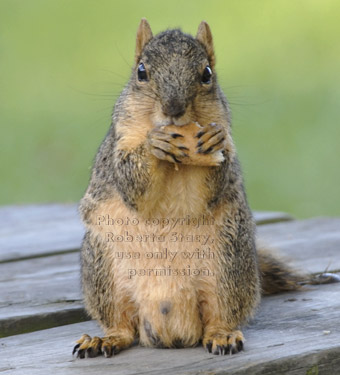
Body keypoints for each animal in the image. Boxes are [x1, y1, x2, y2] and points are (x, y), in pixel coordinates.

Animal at [72, 19, 338, 360]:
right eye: (141, 72)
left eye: (207, 74)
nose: (173, 108)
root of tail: (171, 328)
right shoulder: (118, 149)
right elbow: (133, 185)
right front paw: (154, 145)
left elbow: (206, 190)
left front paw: (210, 143)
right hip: (103, 273)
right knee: (122, 325)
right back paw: (104, 339)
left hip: (227, 268)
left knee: (218, 316)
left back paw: (222, 335)